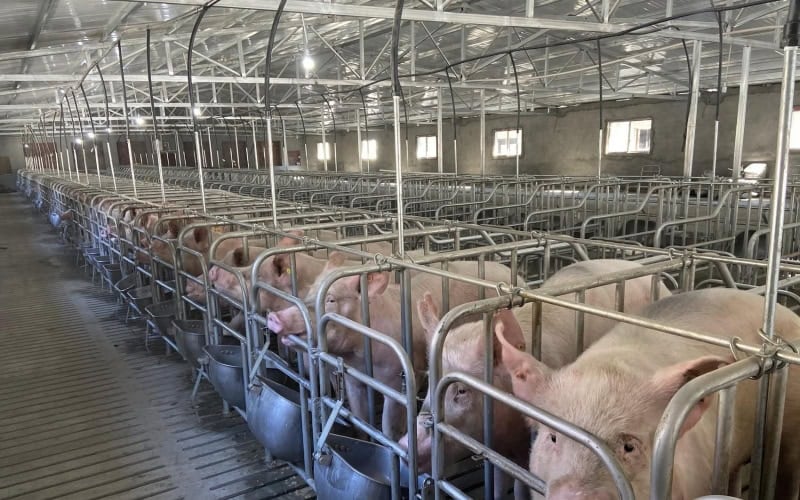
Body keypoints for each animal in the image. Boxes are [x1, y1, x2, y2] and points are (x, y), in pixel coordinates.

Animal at [266, 260, 520, 440]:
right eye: (309, 294)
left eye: (330, 300)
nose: (274, 317)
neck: (362, 356)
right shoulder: (353, 377)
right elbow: (360, 418)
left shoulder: (397, 380)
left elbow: (389, 428)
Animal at [398, 260, 668, 498]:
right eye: (429, 379)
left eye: (462, 390)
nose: (404, 445)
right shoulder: (496, 450)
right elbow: (497, 484)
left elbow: (520, 487)